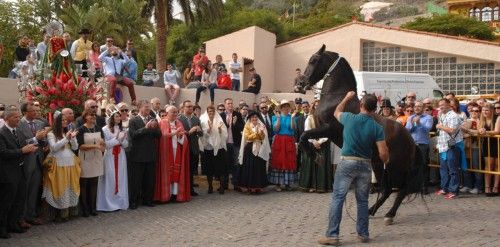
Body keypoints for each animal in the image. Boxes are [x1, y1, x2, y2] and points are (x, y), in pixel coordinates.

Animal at [298, 44, 424, 224]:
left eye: (314, 60)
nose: (301, 83)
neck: (337, 99)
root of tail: (411, 141)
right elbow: (306, 135)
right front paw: (314, 154)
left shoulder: (328, 129)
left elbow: (304, 135)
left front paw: (313, 155)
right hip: (380, 165)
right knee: (388, 189)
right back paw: (372, 210)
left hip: (395, 167)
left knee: (401, 189)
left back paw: (389, 214)